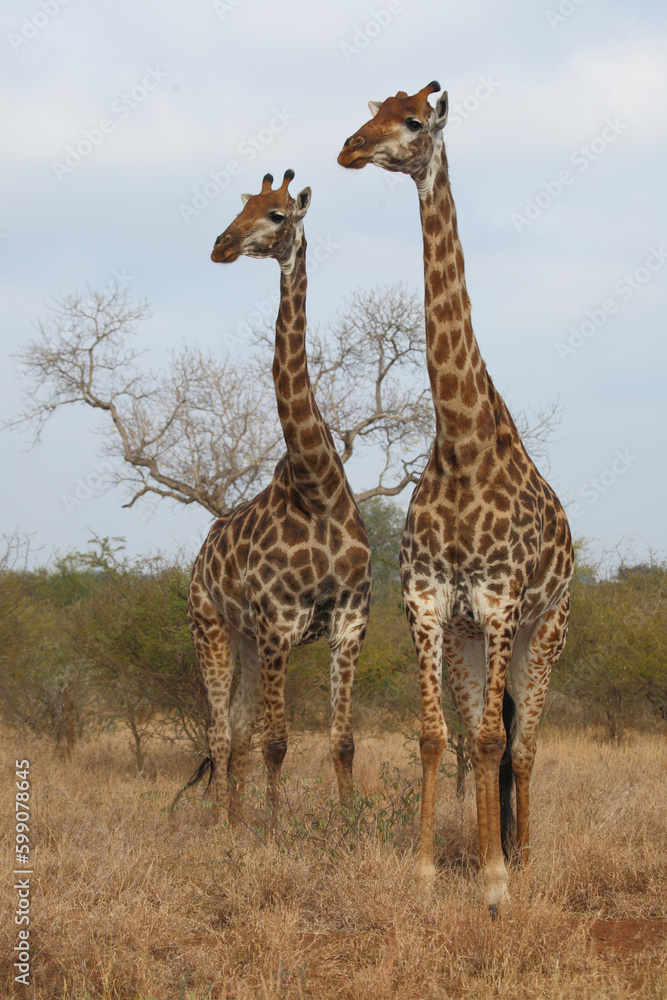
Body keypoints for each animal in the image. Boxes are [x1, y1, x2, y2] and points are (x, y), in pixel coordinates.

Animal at [187, 170, 372, 822]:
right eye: (242, 206)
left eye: (276, 214)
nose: (219, 244)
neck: (318, 488)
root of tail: (201, 552)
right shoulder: (276, 627)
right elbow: (278, 742)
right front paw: (272, 831)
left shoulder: (349, 623)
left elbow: (342, 741)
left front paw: (350, 827)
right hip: (211, 628)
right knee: (221, 734)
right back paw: (224, 826)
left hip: (241, 639)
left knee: (235, 733)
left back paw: (236, 820)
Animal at [338, 84, 573, 912]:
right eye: (372, 110)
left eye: (413, 121)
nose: (348, 148)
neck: (462, 442)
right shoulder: (429, 598)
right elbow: (436, 736)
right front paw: (428, 873)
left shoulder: (501, 600)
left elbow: (499, 741)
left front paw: (499, 884)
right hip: (473, 640)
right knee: (481, 740)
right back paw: (482, 850)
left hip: (545, 629)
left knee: (523, 744)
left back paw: (523, 857)